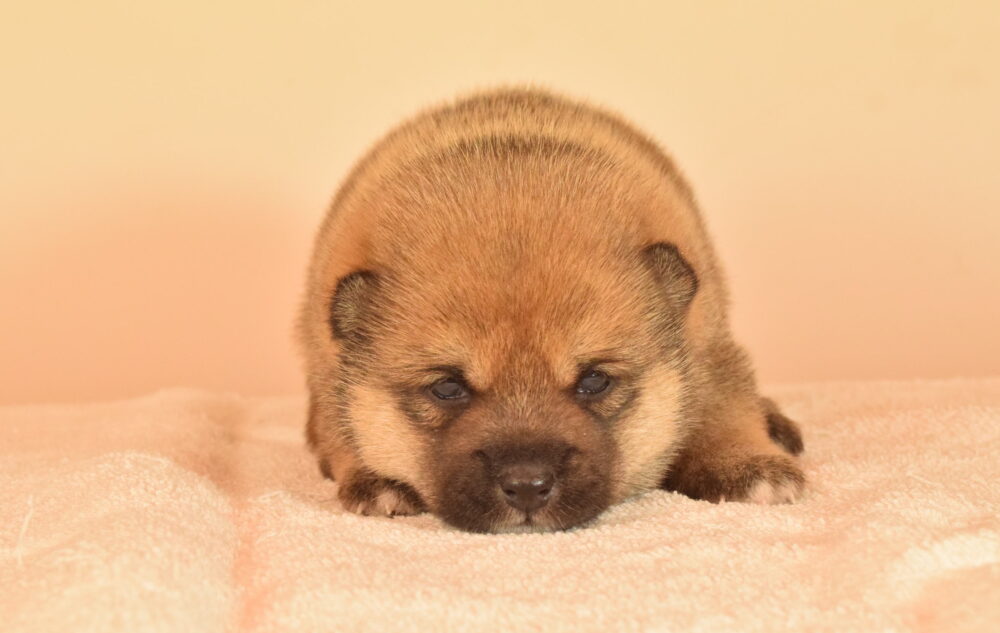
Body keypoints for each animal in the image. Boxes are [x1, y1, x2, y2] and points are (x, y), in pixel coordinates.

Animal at [298, 88, 805, 533]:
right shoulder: (328, 369)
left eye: (595, 381)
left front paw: (748, 465)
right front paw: (375, 479)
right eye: (447, 388)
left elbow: (723, 408)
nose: (526, 486)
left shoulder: (708, 346)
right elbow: (340, 430)